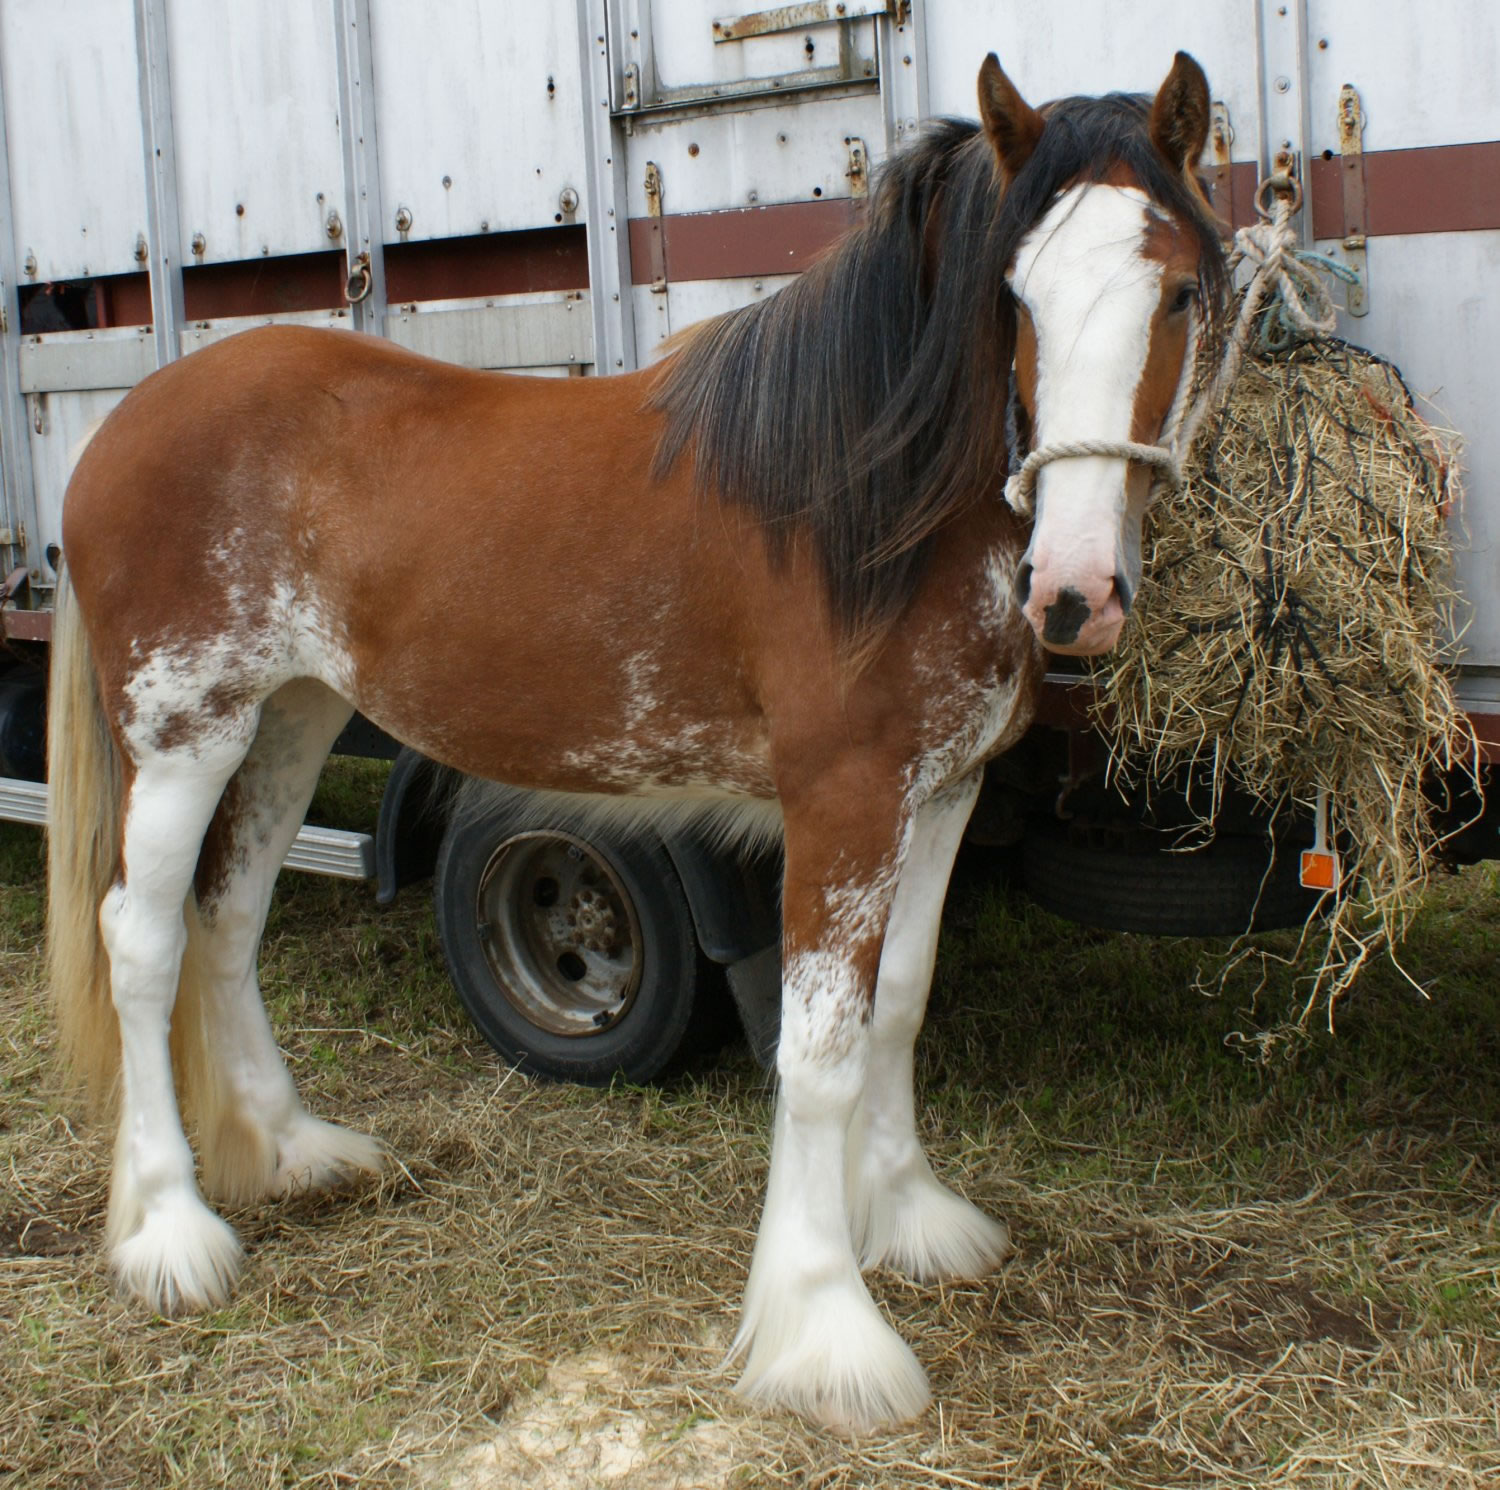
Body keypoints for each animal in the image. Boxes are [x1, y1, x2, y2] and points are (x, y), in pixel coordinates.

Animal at [45, 51, 1229, 1432]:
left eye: (1180, 289)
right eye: (1016, 292)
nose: (1075, 590)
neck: (865, 502)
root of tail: (120, 427)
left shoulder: (941, 796)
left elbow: (897, 1006)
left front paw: (911, 1217)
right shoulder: (843, 803)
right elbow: (819, 1051)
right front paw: (825, 1330)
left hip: (292, 714)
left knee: (229, 917)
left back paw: (290, 1148)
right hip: (185, 729)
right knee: (142, 940)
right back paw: (169, 1231)